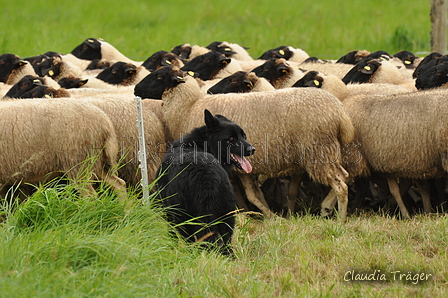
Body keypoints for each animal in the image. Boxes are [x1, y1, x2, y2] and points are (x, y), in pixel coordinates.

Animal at [0, 98, 128, 200]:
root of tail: (105, 123)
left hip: (78, 162)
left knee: (90, 195)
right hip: (98, 161)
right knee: (119, 184)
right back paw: (125, 212)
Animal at [138, 68, 356, 221]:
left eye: (158, 76)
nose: (136, 90)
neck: (189, 107)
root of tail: (340, 113)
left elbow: (250, 196)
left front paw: (267, 217)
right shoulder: (242, 168)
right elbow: (253, 195)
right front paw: (266, 216)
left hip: (319, 150)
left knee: (340, 184)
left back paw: (340, 219)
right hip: (326, 151)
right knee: (344, 176)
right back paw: (327, 207)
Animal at [157, 109, 256, 254]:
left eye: (244, 136)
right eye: (231, 138)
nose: (252, 149)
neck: (200, 145)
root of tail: (206, 175)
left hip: (189, 218)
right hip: (225, 215)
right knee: (224, 243)